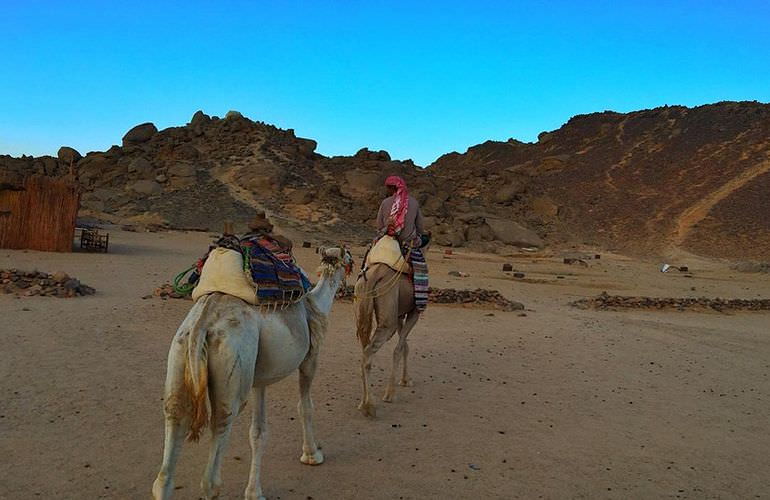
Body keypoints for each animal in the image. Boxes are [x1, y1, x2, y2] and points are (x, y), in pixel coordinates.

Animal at [151, 247, 354, 500]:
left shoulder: (259, 380)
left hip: (180, 351)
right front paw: (312, 455)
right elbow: (305, 407)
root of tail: (202, 325)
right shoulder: (310, 358)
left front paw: (254, 492)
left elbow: (258, 432)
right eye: (348, 257)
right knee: (217, 448)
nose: (355, 265)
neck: (317, 303)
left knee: (174, 422)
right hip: (233, 362)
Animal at [354, 262, 420, 418]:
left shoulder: (399, 315)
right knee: (368, 353)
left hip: (361, 304)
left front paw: (405, 379)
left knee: (364, 350)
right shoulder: (415, 311)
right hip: (388, 319)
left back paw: (362, 403)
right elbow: (398, 349)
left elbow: (405, 346)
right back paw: (370, 406)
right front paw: (390, 393)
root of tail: (372, 276)